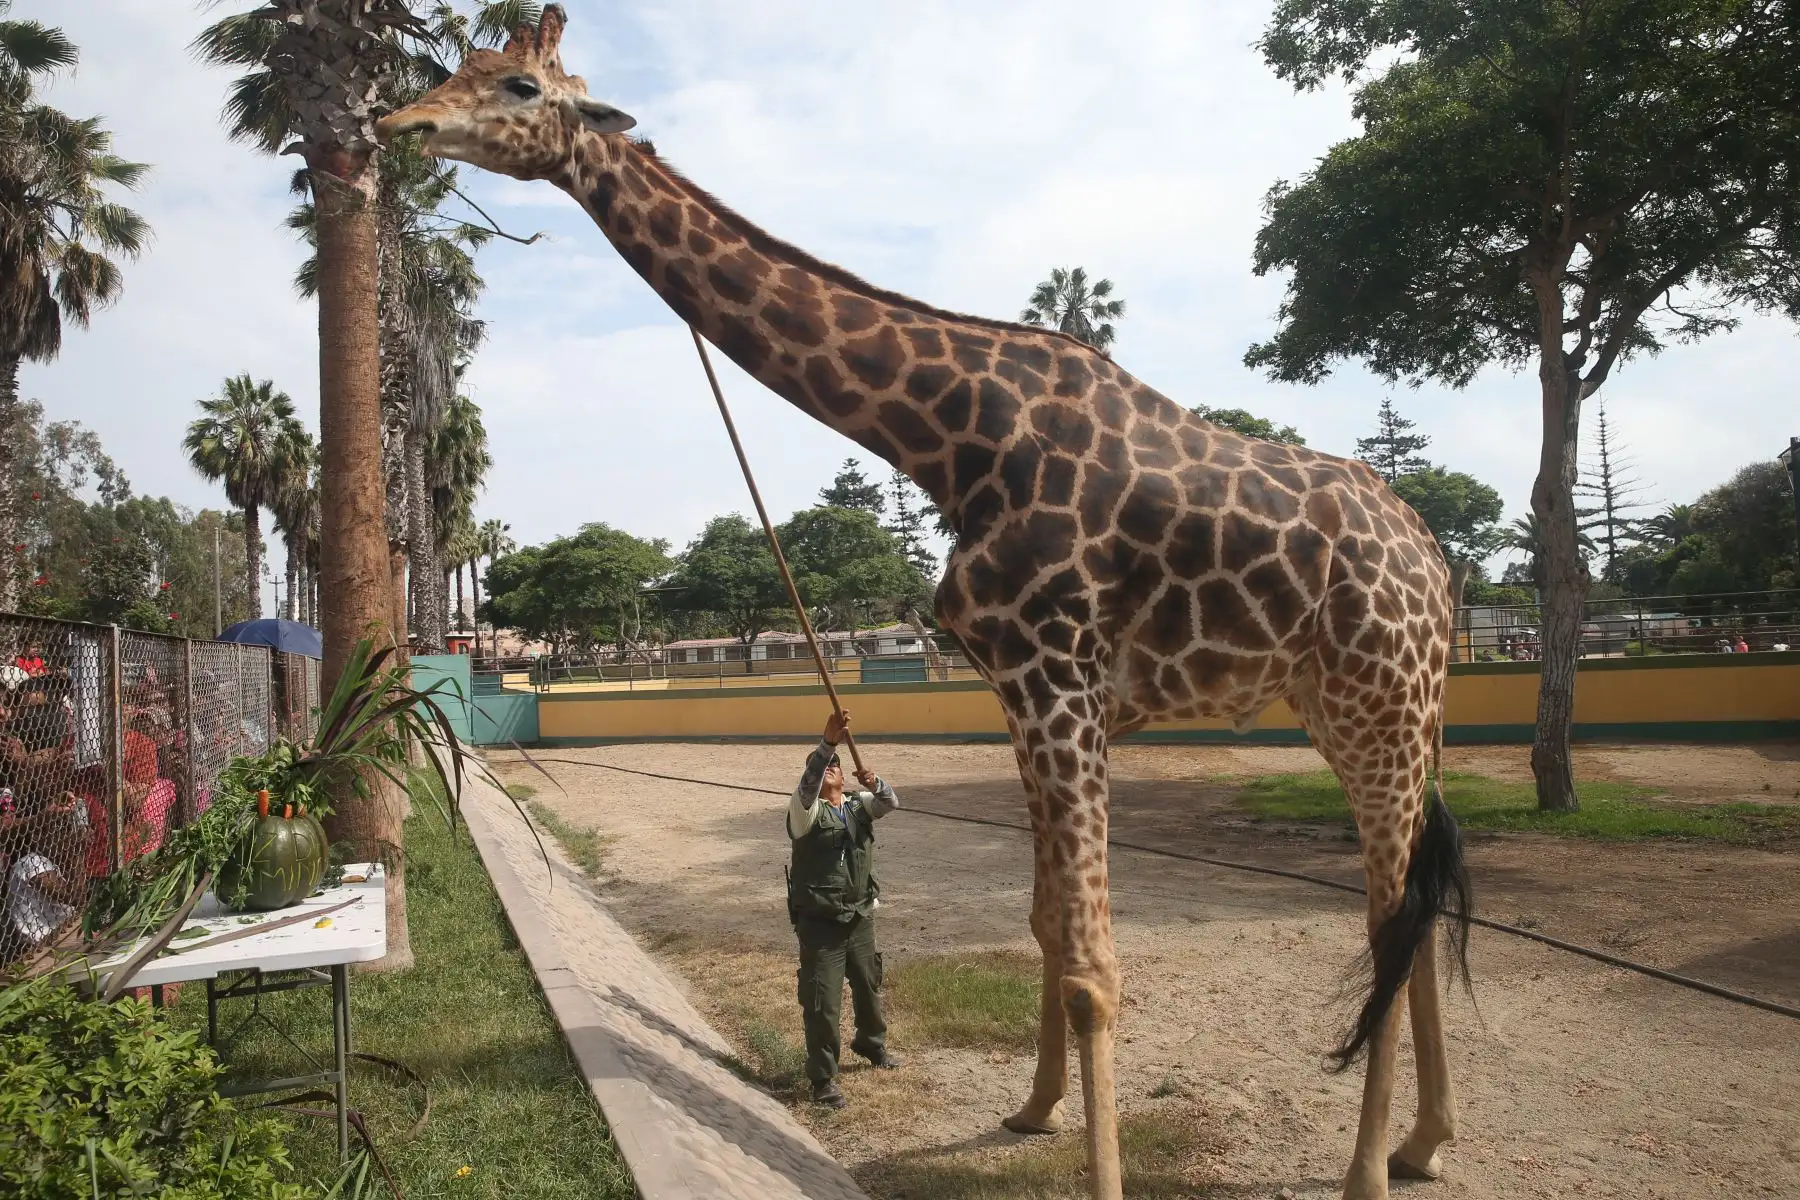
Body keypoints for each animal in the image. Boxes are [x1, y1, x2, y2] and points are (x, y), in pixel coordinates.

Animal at [375, 10, 1474, 1198]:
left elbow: (1094, 965)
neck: (955, 440)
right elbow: (1046, 926)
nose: (398, 124)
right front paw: (1033, 1111)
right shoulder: (1022, 692)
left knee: (1390, 920)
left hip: (1376, 706)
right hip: (1373, 710)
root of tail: (1437, 565)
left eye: (520, 86)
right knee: (1413, 906)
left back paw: (1369, 1173)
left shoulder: (1057, 680)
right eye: (465, 65)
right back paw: (1423, 1142)